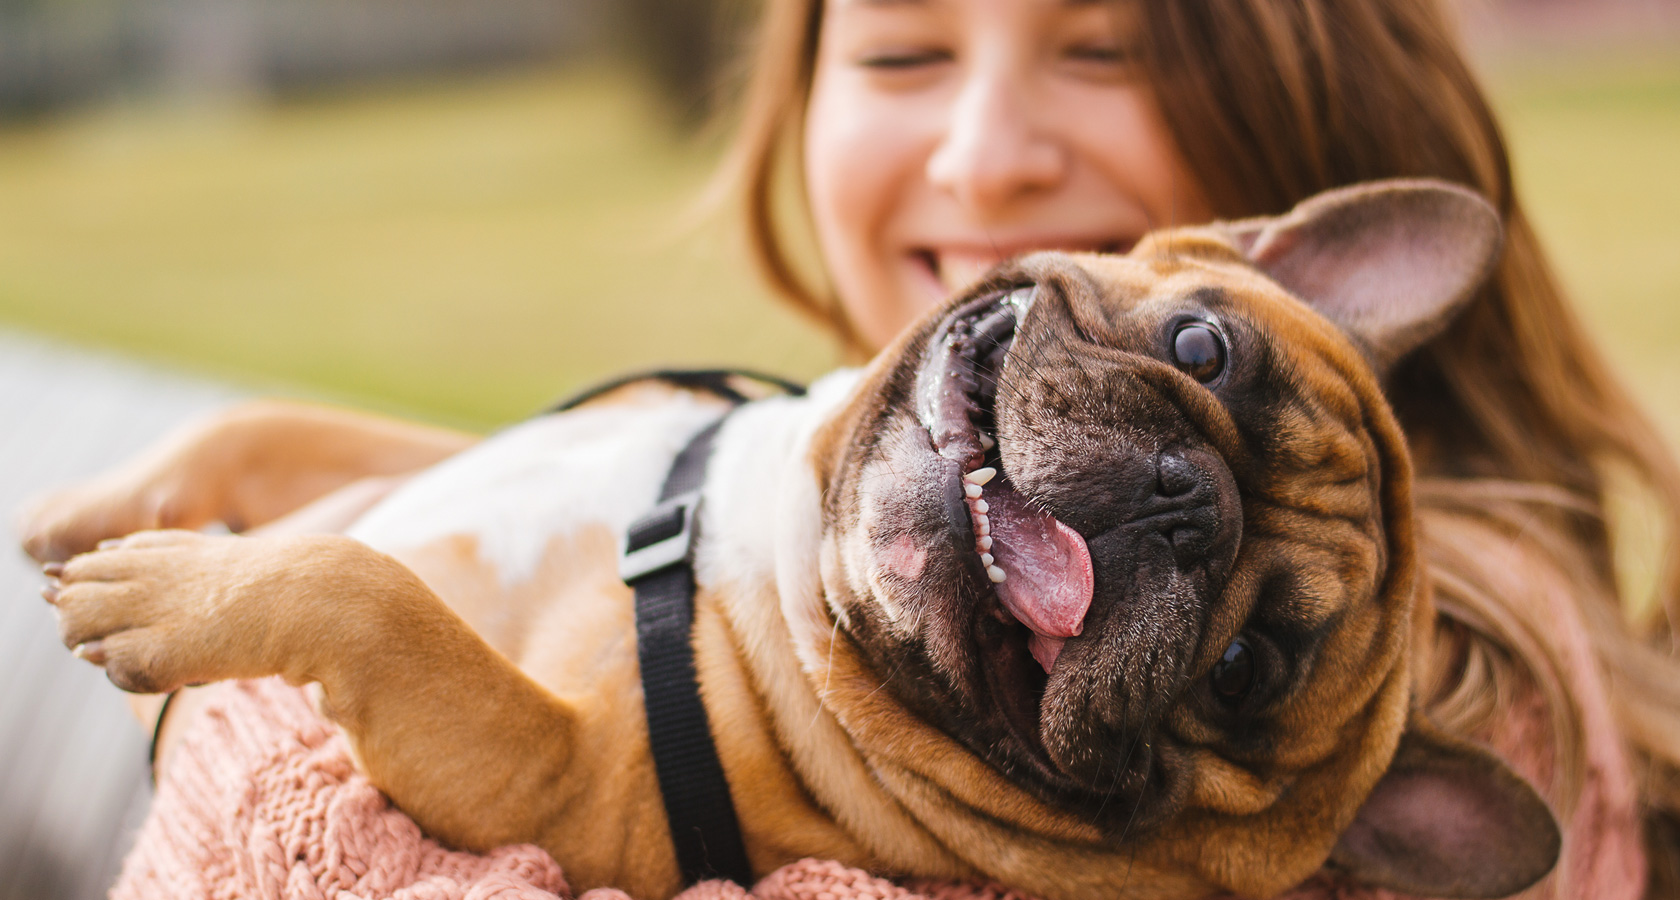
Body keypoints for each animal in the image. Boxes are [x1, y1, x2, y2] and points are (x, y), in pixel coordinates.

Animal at [19, 181, 1559, 900]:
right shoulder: (442, 455)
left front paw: (168, 593)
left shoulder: (555, 786)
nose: (1188, 503)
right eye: (1201, 348)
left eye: (1244, 669)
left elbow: (376, 597)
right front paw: (94, 509)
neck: (766, 540)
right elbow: (274, 429)